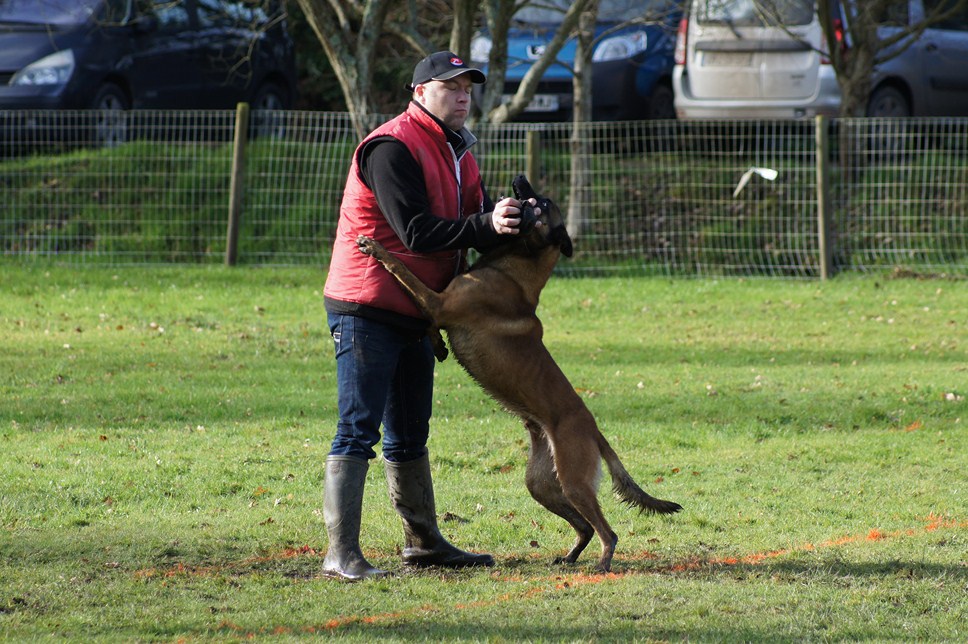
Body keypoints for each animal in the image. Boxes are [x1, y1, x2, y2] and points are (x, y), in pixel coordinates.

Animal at [356, 174, 680, 572]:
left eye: (542, 202)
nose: (520, 178)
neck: (512, 268)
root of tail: (594, 430)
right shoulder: (439, 308)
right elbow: (429, 323)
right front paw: (438, 346)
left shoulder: (438, 301)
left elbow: (403, 272)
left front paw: (374, 247)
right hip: (542, 485)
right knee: (585, 527)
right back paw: (569, 558)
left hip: (574, 482)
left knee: (607, 531)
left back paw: (602, 564)